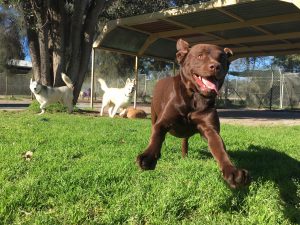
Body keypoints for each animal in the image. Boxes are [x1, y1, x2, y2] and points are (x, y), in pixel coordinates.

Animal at [137, 38, 250, 188]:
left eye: (221, 58)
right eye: (200, 56)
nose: (216, 66)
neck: (195, 98)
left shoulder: (210, 130)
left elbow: (220, 149)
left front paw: (232, 171)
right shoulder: (162, 123)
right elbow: (156, 137)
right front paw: (148, 157)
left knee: (185, 141)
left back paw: (184, 154)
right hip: (153, 116)